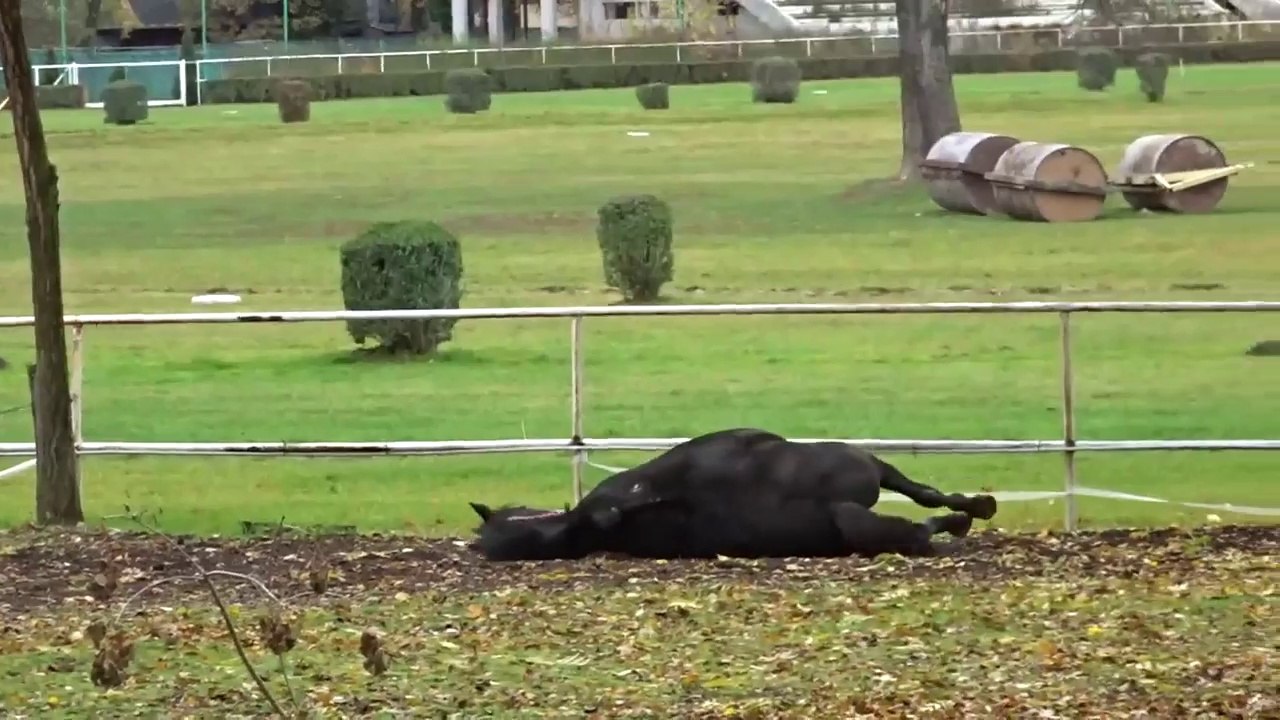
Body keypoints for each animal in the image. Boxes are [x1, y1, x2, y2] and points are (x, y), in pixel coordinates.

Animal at [467, 427, 998, 562]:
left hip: (867, 473)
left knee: (923, 499)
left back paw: (975, 509)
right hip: (858, 517)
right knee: (917, 528)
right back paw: (961, 519)